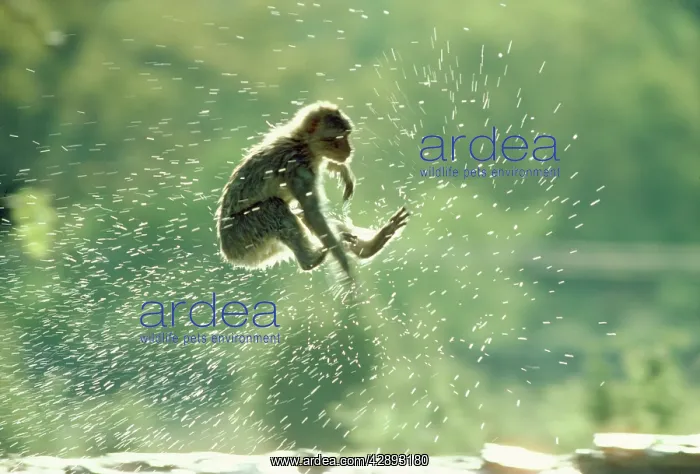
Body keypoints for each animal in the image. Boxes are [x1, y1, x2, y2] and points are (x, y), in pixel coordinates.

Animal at [214, 101, 409, 281]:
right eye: (337, 138)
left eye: (347, 135)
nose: (349, 150)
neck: (304, 145)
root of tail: (228, 255)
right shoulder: (297, 168)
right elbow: (313, 213)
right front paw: (343, 262)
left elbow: (312, 212)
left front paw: (341, 170)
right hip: (243, 237)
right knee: (274, 208)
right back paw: (311, 260)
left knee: (299, 215)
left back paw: (369, 246)